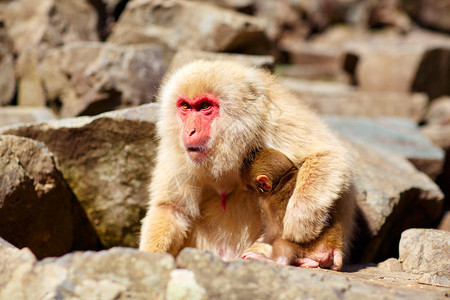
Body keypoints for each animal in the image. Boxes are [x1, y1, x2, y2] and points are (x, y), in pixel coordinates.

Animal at [140, 59, 356, 268]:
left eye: (204, 106)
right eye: (185, 107)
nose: (189, 131)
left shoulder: (276, 122)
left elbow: (329, 155)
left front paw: (300, 223)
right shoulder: (176, 149)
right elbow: (172, 209)